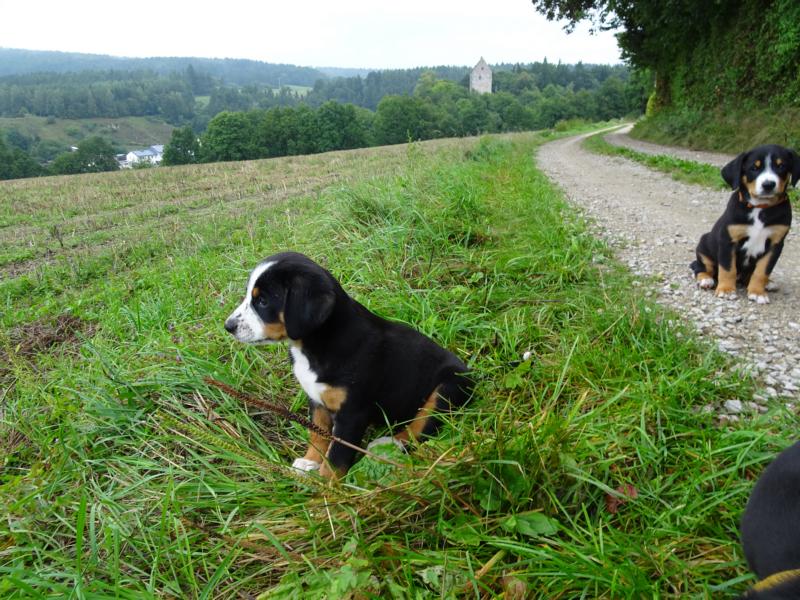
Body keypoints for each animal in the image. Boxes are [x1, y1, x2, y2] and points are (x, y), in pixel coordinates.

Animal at [224, 251, 472, 479]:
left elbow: (337, 457)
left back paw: (390, 444)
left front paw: (326, 490)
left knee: (421, 427)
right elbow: (318, 434)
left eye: (262, 301)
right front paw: (310, 461)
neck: (312, 346)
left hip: (447, 388)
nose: (228, 326)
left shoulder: (353, 412)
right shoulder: (317, 400)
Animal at [690, 144, 799, 304]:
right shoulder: (728, 241)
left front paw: (758, 292)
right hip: (704, 248)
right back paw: (706, 280)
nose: (768, 184)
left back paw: (768, 283)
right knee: (700, 267)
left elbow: (762, 271)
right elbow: (728, 269)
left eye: (781, 166)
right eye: (754, 168)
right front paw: (726, 290)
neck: (760, 208)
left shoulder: (775, 244)